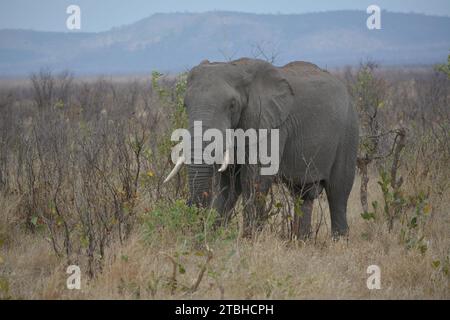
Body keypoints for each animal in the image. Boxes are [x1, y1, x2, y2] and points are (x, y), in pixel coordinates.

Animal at [163, 57, 356, 239]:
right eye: (185, 104)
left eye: (232, 105)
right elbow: (228, 184)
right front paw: (213, 236)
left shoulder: (269, 125)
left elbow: (254, 179)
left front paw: (248, 239)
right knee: (302, 194)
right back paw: (302, 241)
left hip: (348, 133)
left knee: (338, 192)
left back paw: (338, 241)